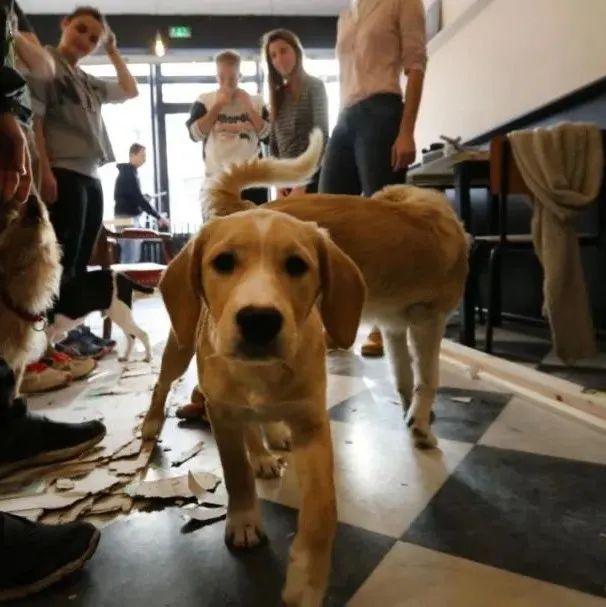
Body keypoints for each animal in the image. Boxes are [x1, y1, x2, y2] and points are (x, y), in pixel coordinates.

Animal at [158, 207, 366, 604]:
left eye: (297, 265)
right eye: (223, 262)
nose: (259, 319)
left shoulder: (311, 422)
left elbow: (322, 507)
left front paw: (307, 579)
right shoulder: (221, 414)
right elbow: (236, 471)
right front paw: (243, 520)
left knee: (258, 424)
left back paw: (269, 443)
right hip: (178, 346)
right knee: (160, 389)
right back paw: (149, 430)